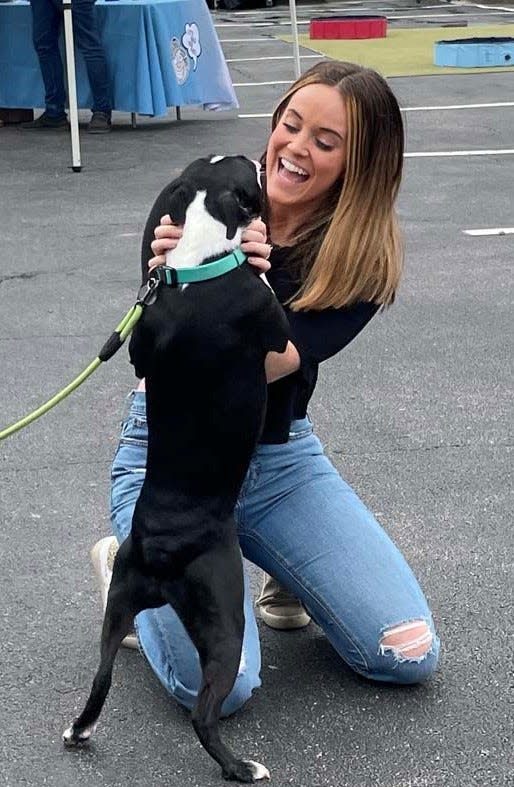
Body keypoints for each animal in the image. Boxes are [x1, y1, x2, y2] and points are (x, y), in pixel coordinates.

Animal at [62, 157, 290, 784]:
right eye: (252, 173)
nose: (262, 157)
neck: (196, 266)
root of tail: (160, 548)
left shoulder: (142, 341)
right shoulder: (269, 320)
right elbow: (272, 303)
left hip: (119, 605)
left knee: (101, 677)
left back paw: (79, 730)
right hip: (225, 620)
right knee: (203, 715)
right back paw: (242, 767)